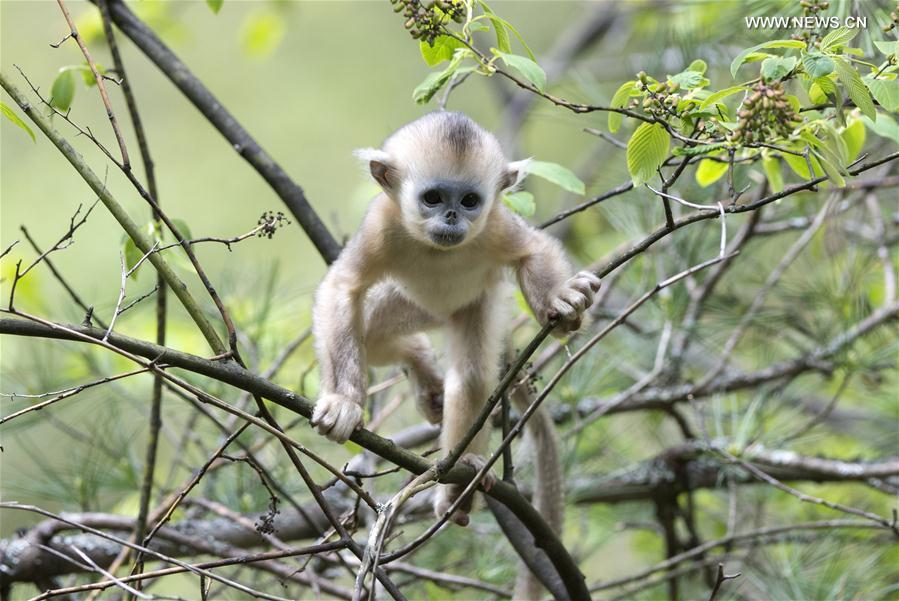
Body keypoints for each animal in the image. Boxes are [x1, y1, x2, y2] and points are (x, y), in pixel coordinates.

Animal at [312, 111, 600, 524]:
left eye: (469, 201)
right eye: (432, 198)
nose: (451, 217)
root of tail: (438, 314)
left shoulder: (495, 225)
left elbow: (532, 251)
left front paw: (562, 304)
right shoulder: (380, 226)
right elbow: (343, 286)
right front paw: (343, 402)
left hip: (477, 304)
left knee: (471, 374)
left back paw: (460, 477)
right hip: (404, 303)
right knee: (374, 336)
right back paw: (425, 376)